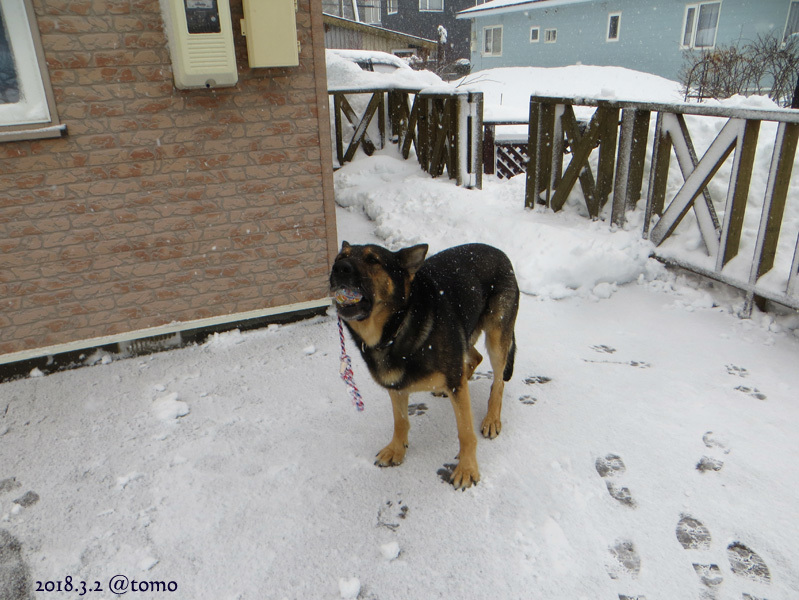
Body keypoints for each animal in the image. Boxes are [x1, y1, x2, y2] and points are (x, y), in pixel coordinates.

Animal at [330, 241, 520, 490]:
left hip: (497, 336)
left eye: (372, 260)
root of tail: (500, 252)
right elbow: (400, 421)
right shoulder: (396, 386)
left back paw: (491, 419)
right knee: (475, 357)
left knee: (498, 381)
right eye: (339, 257)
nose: (339, 268)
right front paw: (397, 449)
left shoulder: (455, 379)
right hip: (464, 334)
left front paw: (467, 469)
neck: (398, 327)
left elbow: (465, 431)